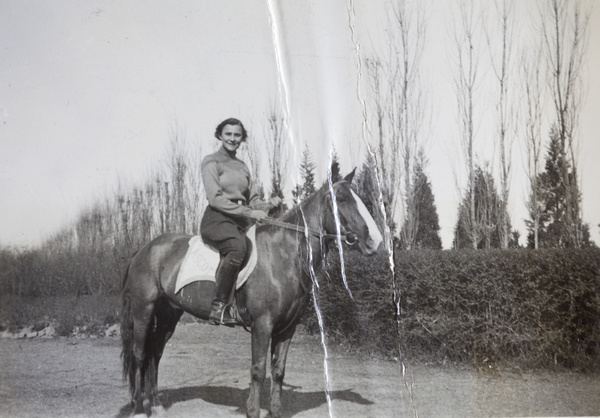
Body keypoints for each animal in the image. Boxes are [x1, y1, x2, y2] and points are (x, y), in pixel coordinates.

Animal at [120, 168, 384, 416]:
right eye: (341, 199)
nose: (376, 241)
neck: (284, 255)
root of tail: (144, 249)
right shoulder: (262, 324)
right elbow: (258, 370)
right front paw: (252, 411)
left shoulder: (287, 328)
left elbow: (278, 371)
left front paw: (275, 411)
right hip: (143, 311)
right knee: (140, 353)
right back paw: (138, 406)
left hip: (168, 314)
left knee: (155, 353)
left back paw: (154, 405)